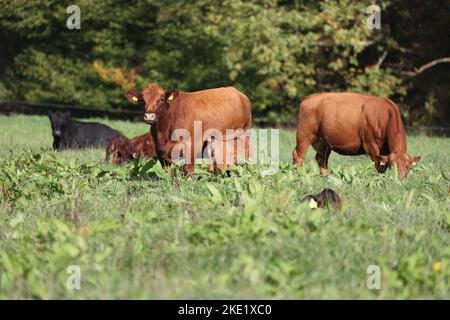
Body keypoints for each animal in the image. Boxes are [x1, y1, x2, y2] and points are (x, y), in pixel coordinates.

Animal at [125, 82, 253, 172]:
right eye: (142, 100)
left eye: (161, 99)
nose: (149, 115)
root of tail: (238, 93)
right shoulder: (160, 151)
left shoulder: (192, 145)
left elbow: (188, 169)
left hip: (244, 136)